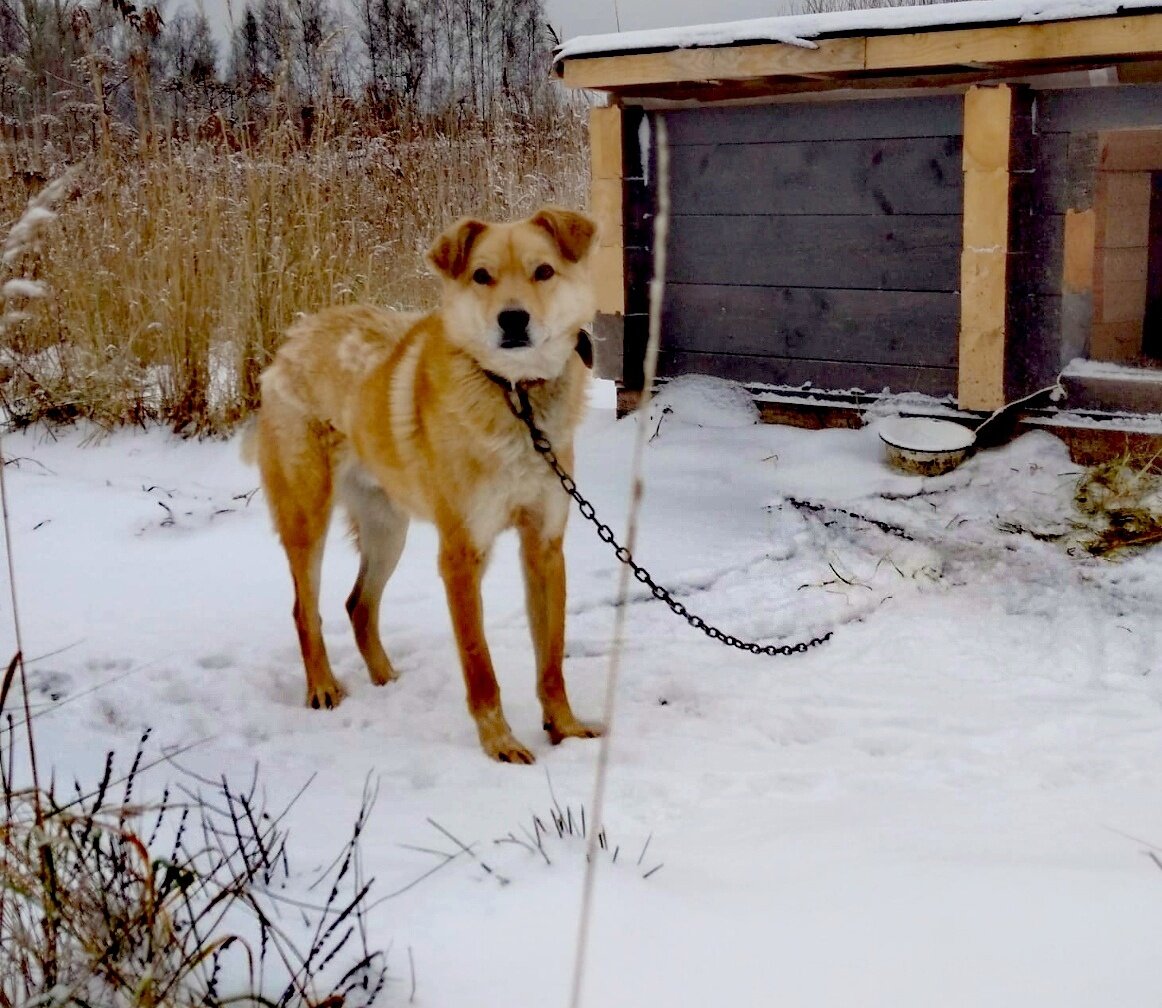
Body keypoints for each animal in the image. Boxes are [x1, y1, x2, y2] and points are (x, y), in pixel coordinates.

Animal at [250, 204, 604, 762]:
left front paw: (565, 729)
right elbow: (480, 662)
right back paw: (322, 687)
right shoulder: (461, 556)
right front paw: (499, 744)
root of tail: (296, 336)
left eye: (543, 271)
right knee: (306, 611)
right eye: (482, 276)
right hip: (307, 520)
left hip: (387, 530)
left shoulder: (545, 546)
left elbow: (552, 657)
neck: (514, 396)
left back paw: (386, 679)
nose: (513, 319)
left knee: (358, 605)